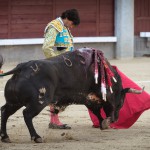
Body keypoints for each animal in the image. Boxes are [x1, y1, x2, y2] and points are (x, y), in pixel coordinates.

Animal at [0, 47, 143, 143]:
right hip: (38, 102)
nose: (115, 119)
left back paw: (5, 137)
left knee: (5, 111)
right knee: (27, 114)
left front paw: (103, 123)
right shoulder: (91, 98)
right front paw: (105, 122)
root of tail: (22, 67)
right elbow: (98, 110)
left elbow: (96, 111)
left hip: (14, 102)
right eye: (120, 103)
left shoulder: (88, 99)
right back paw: (36, 137)